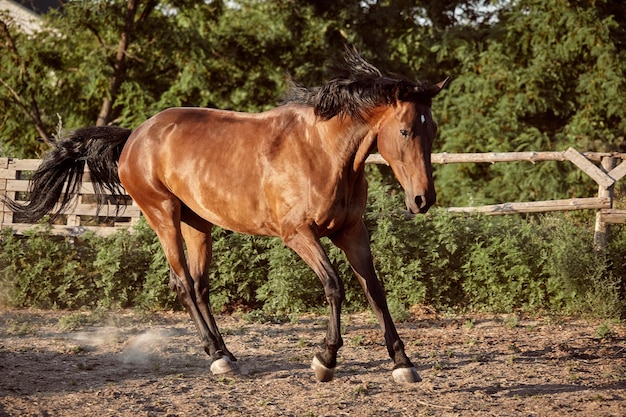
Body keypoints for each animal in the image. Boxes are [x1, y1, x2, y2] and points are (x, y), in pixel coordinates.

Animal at [4, 48, 444, 384]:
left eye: (432, 130)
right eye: (405, 131)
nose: (422, 200)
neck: (323, 153)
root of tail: (135, 136)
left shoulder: (351, 231)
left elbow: (375, 289)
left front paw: (402, 363)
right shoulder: (298, 234)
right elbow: (335, 286)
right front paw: (325, 360)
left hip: (197, 223)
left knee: (200, 286)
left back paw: (227, 355)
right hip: (162, 215)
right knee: (182, 283)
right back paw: (216, 356)